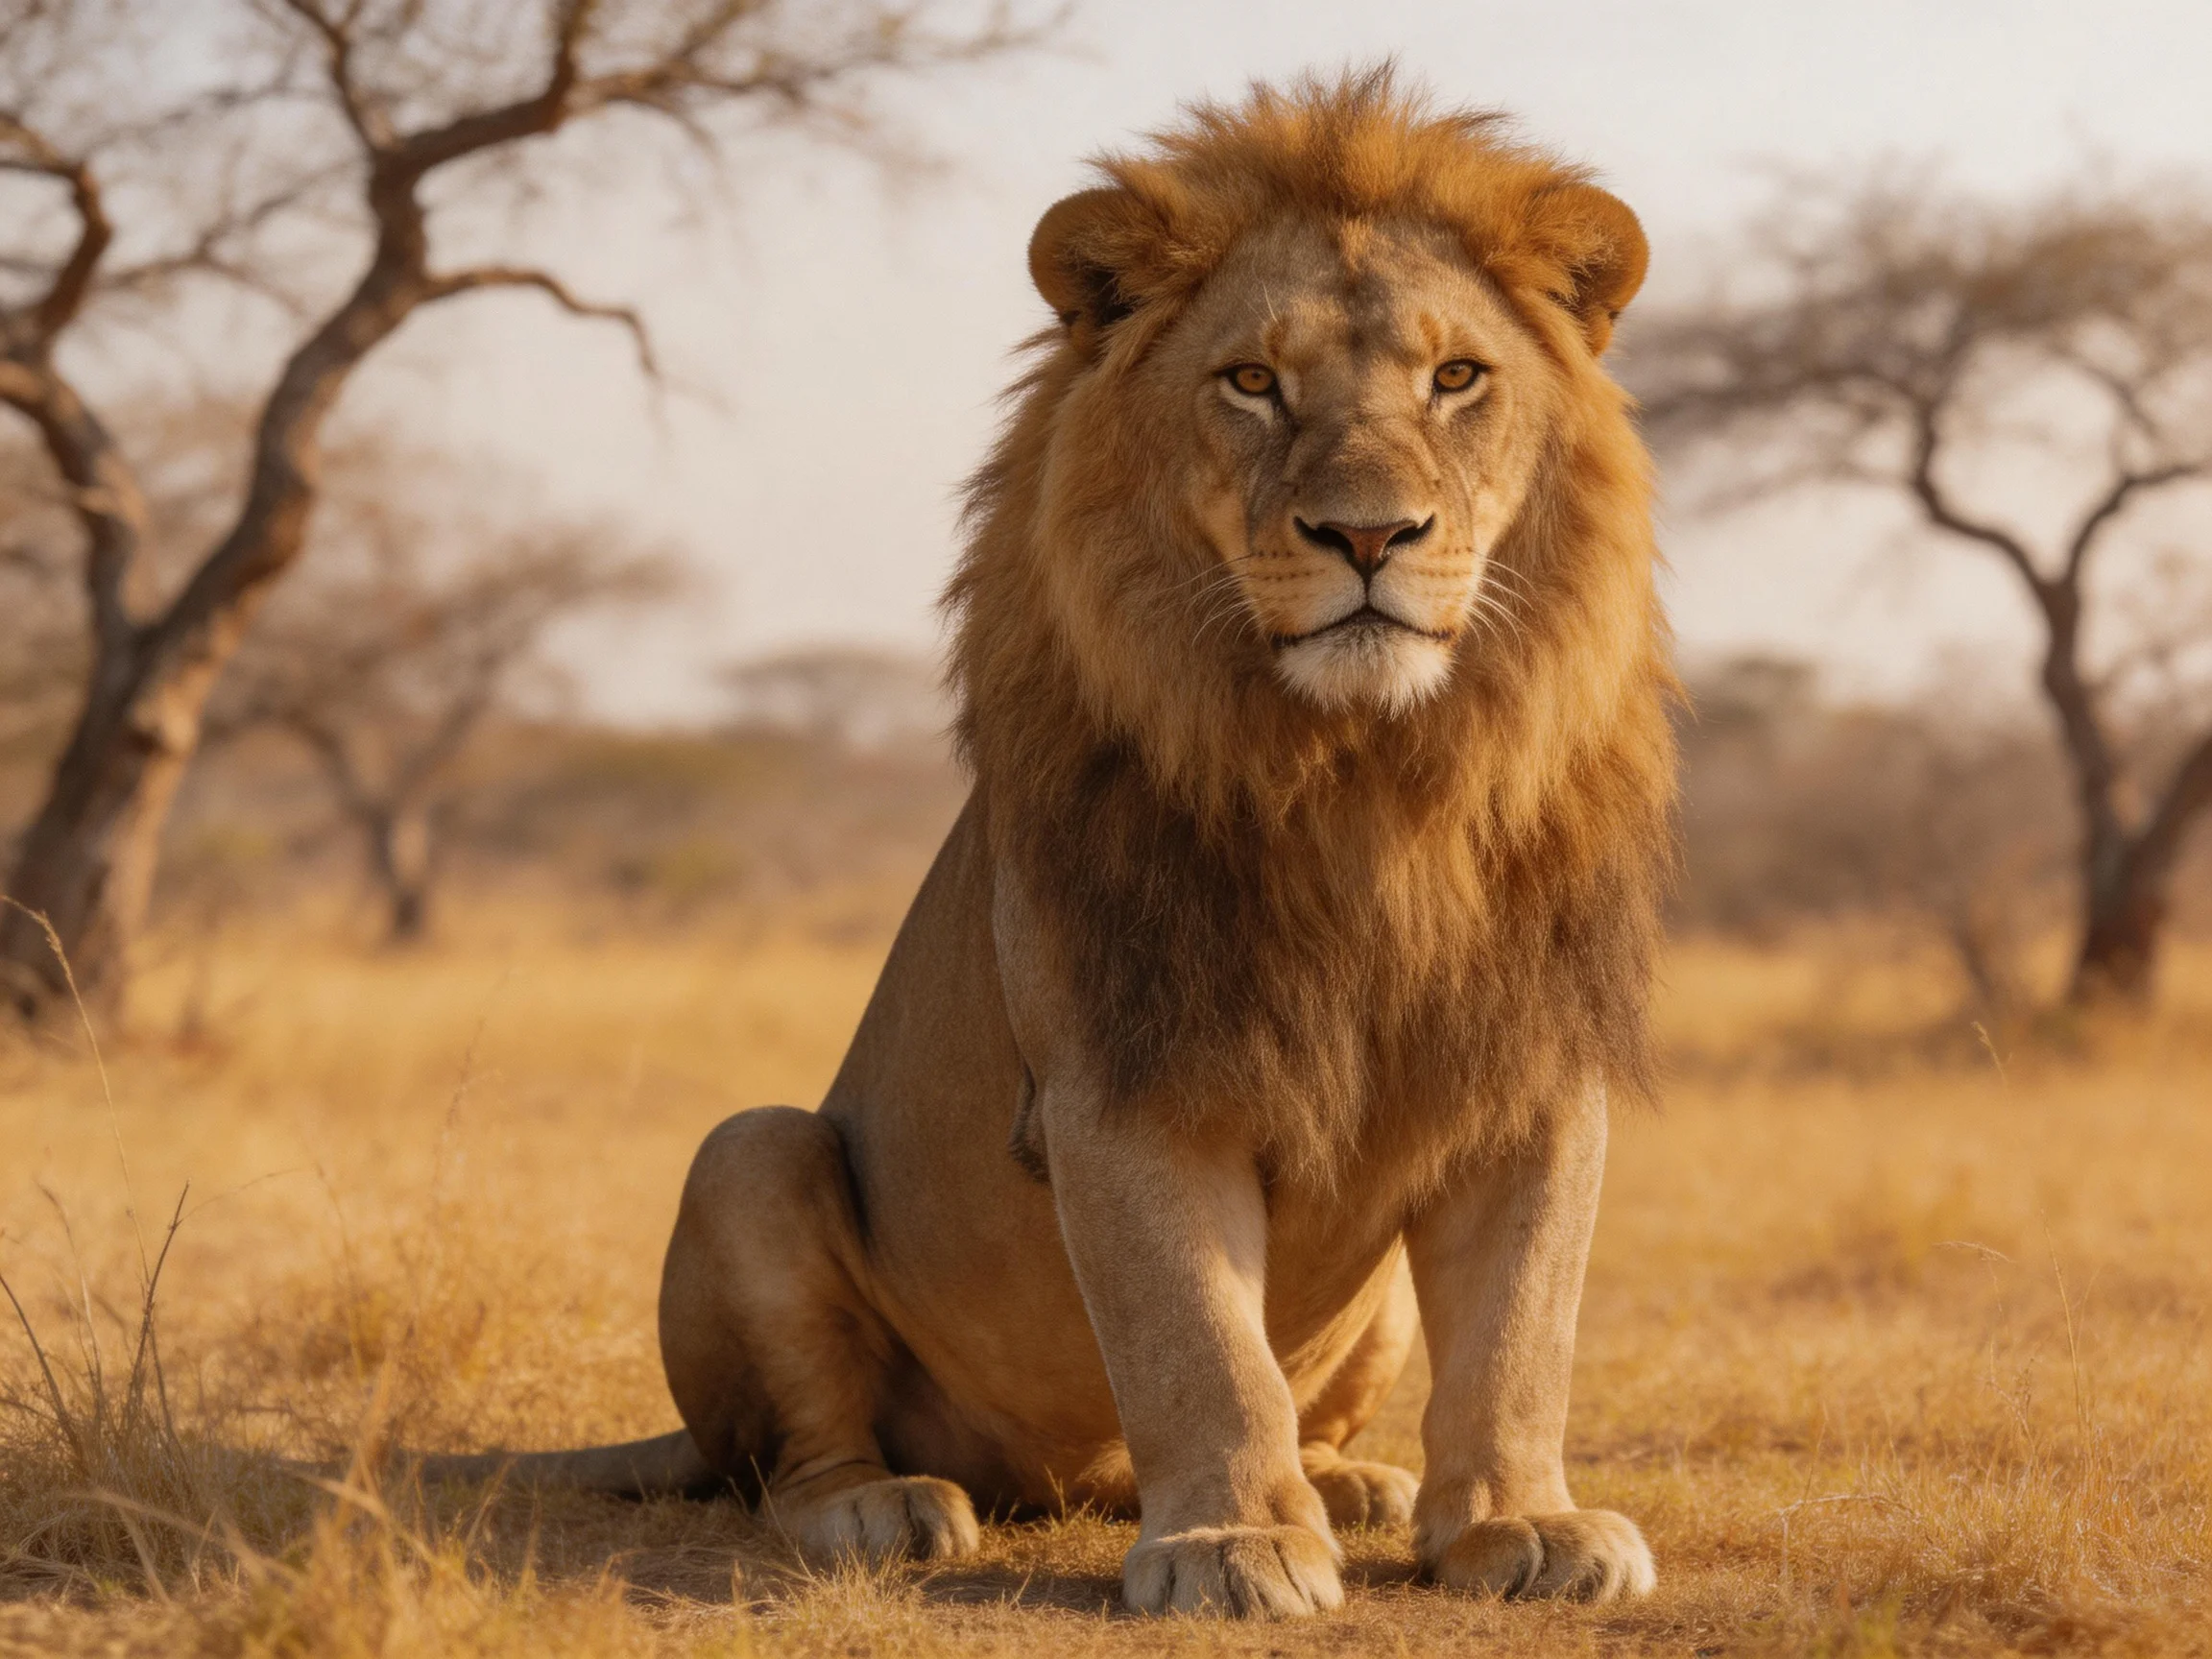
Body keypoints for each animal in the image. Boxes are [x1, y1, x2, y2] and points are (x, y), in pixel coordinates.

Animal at [453, 69, 1677, 1619]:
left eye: (1457, 379)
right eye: (1253, 382)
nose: (1369, 535)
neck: (1366, 778)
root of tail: (1069, 1482)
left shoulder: (1532, 1067)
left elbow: (1523, 1331)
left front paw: (1521, 1523)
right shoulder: (1122, 1074)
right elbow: (1195, 1338)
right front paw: (1229, 1544)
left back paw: (1352, 1483)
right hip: (749, 1156)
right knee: (794, 1457)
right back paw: (890, 1509)